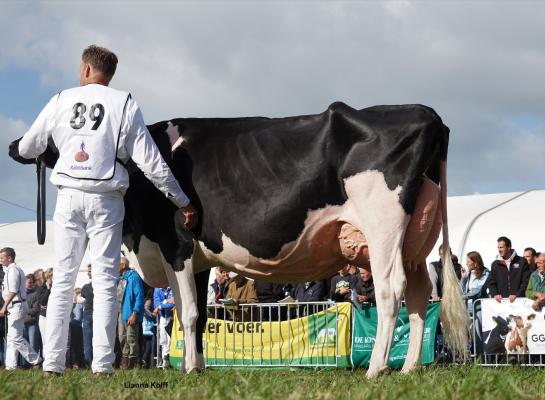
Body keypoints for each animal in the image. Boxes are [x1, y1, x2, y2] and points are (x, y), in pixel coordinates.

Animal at [8, 101, 468, 376]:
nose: (14, 145)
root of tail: (426, 112)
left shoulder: (175, 243)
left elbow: (189, 314)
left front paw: (189, 369)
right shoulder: (192, 259)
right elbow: (193, 316)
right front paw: (197, 368)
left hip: (383, 226)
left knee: (391, 292)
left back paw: (376, 369)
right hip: (415, 241)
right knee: (418, 296)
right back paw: (408, 368)